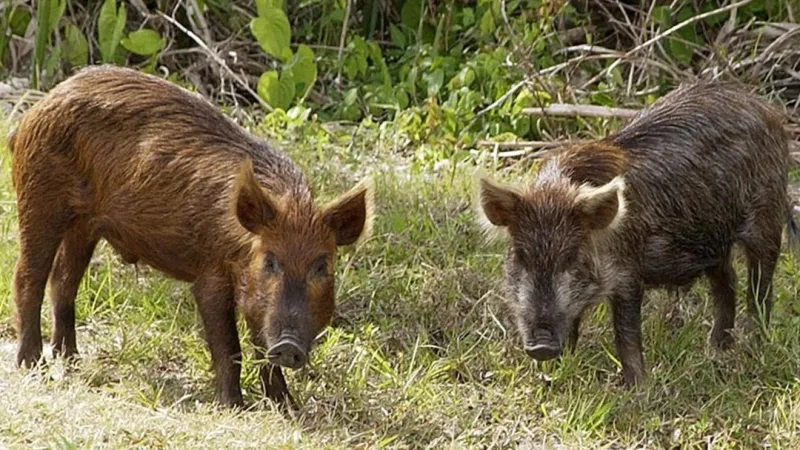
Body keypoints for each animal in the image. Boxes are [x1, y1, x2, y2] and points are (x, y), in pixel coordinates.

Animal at [8, 65, 374, 407]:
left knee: (63, 281)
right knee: (28, 277)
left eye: (322, 266)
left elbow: (260, 346)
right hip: (39, 198)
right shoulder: (210, 274)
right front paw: (233, 407)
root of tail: (39, 106)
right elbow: (229, 346)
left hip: (84, 225)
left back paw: (71, 358)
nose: (288, 345)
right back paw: (33, 365)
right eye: (269, 261)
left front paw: (287, 407)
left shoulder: (255, 298)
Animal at [475, 81, 797, 386]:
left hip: (766, 218)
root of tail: (766, 109)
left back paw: (753, 347)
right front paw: (554, 374)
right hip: (713, 241)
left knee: (760, 289)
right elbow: (574, 324)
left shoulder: (627, 273)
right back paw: (718, 348)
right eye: (521, 256)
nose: (541, 346)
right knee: (727, 282)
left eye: (571, 257)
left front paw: (635, 387)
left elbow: (626, 331)